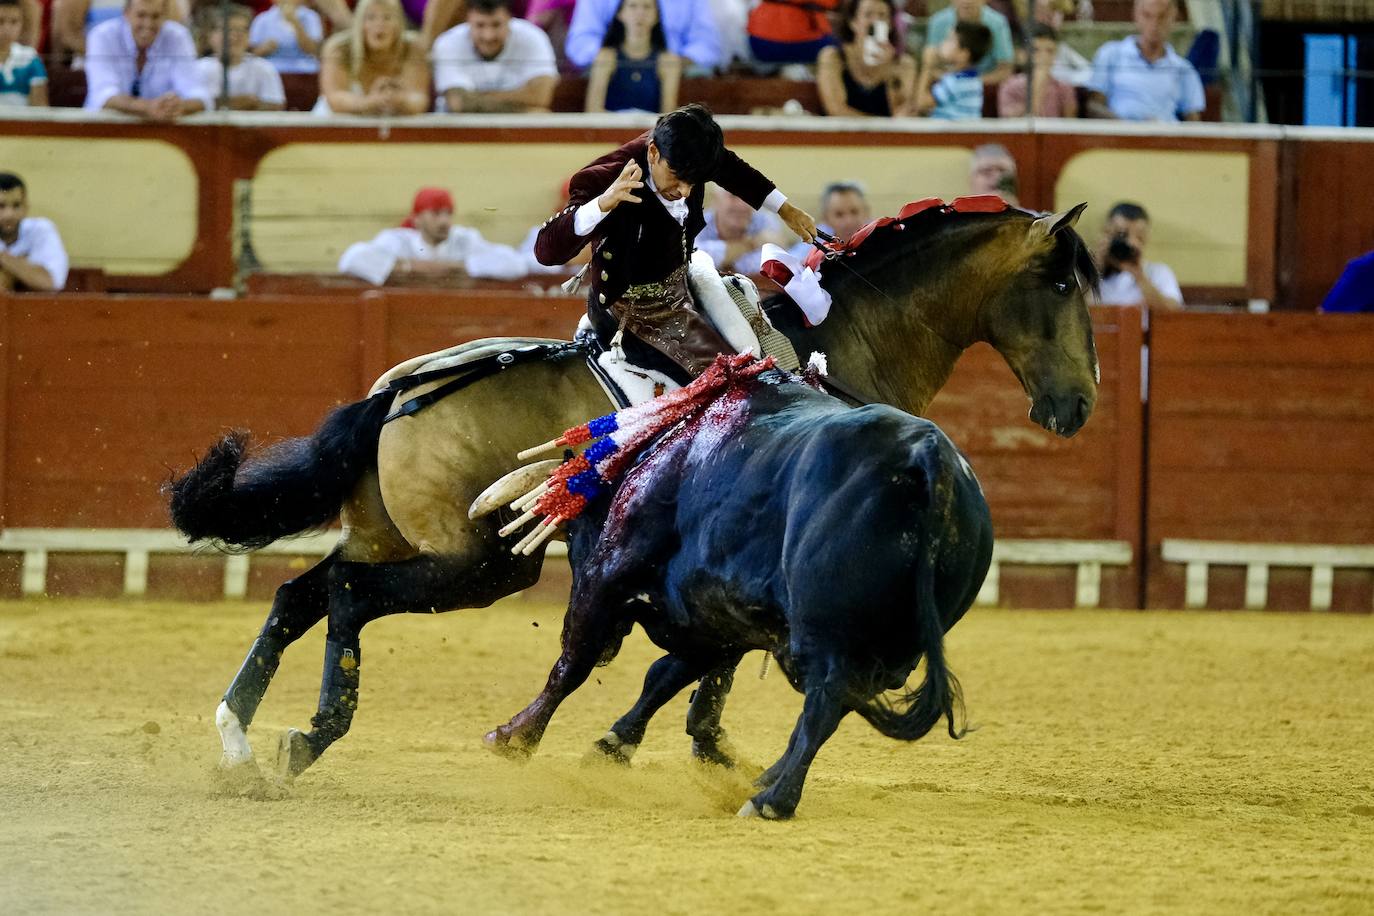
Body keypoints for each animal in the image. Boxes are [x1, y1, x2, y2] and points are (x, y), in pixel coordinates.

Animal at [483, 354, 989, 818]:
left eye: (574, 537)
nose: (613, 646)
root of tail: (928, 456)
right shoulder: (716, 621)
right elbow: (663, 677)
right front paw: (612, 745)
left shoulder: (608, 574)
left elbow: (573, 664)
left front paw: (512, 738)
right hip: (897, 649)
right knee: (837, 703)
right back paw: (764, 779)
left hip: (825, 630)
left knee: (826, 698)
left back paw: (771, 800)